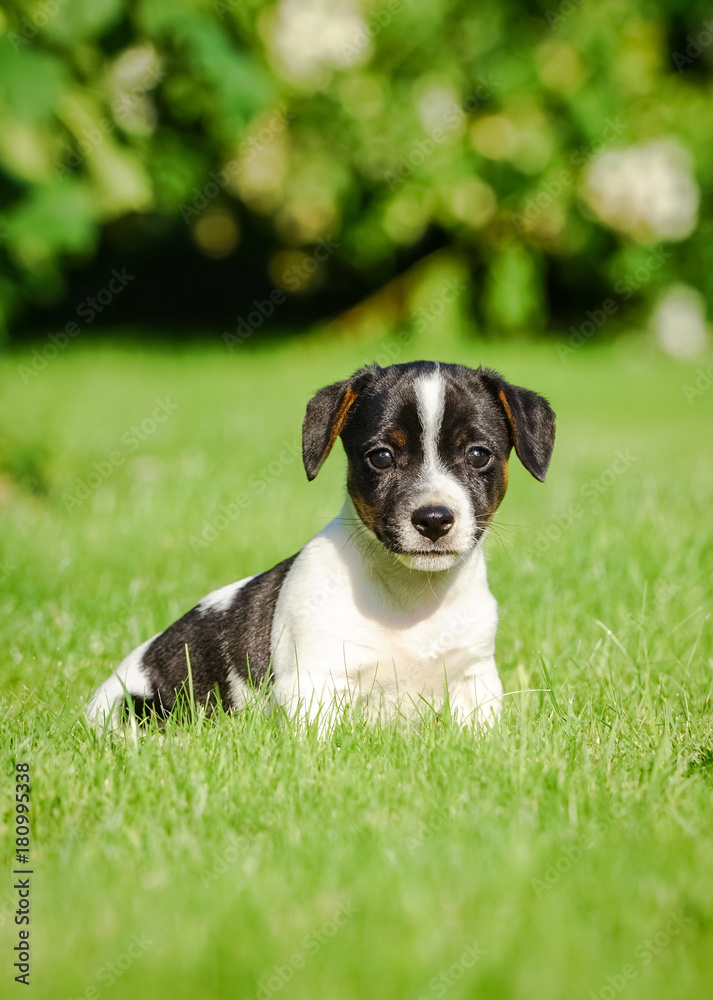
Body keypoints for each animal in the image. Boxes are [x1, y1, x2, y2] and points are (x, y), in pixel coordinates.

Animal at [86, 360, 556, 728]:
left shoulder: (475, 682)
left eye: (478, 454)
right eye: (381, 457)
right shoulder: (315, 684)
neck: (411, 599)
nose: (434, 519)